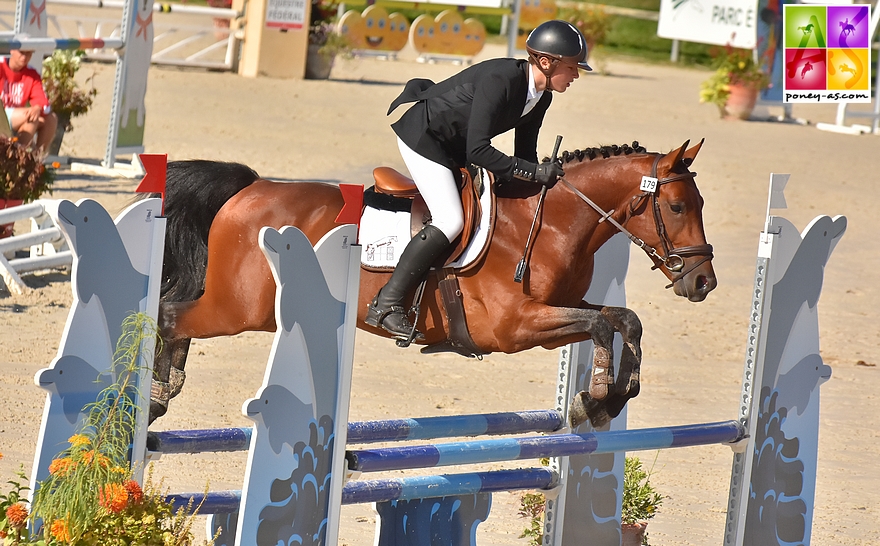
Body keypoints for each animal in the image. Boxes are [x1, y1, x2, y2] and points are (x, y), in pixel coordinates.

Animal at [148, 138, 720, 428]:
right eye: (676, 207)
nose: (703, 283)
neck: (554, 222)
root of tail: (249, 188)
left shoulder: (556, 310)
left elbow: (624, 320)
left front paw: (609, 398)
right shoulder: (514, 328)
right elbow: (603, 326)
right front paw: (596, 395)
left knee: (176, 315)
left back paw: (160, 391)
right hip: (237, 309)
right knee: (171, 315)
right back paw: (154, 398)